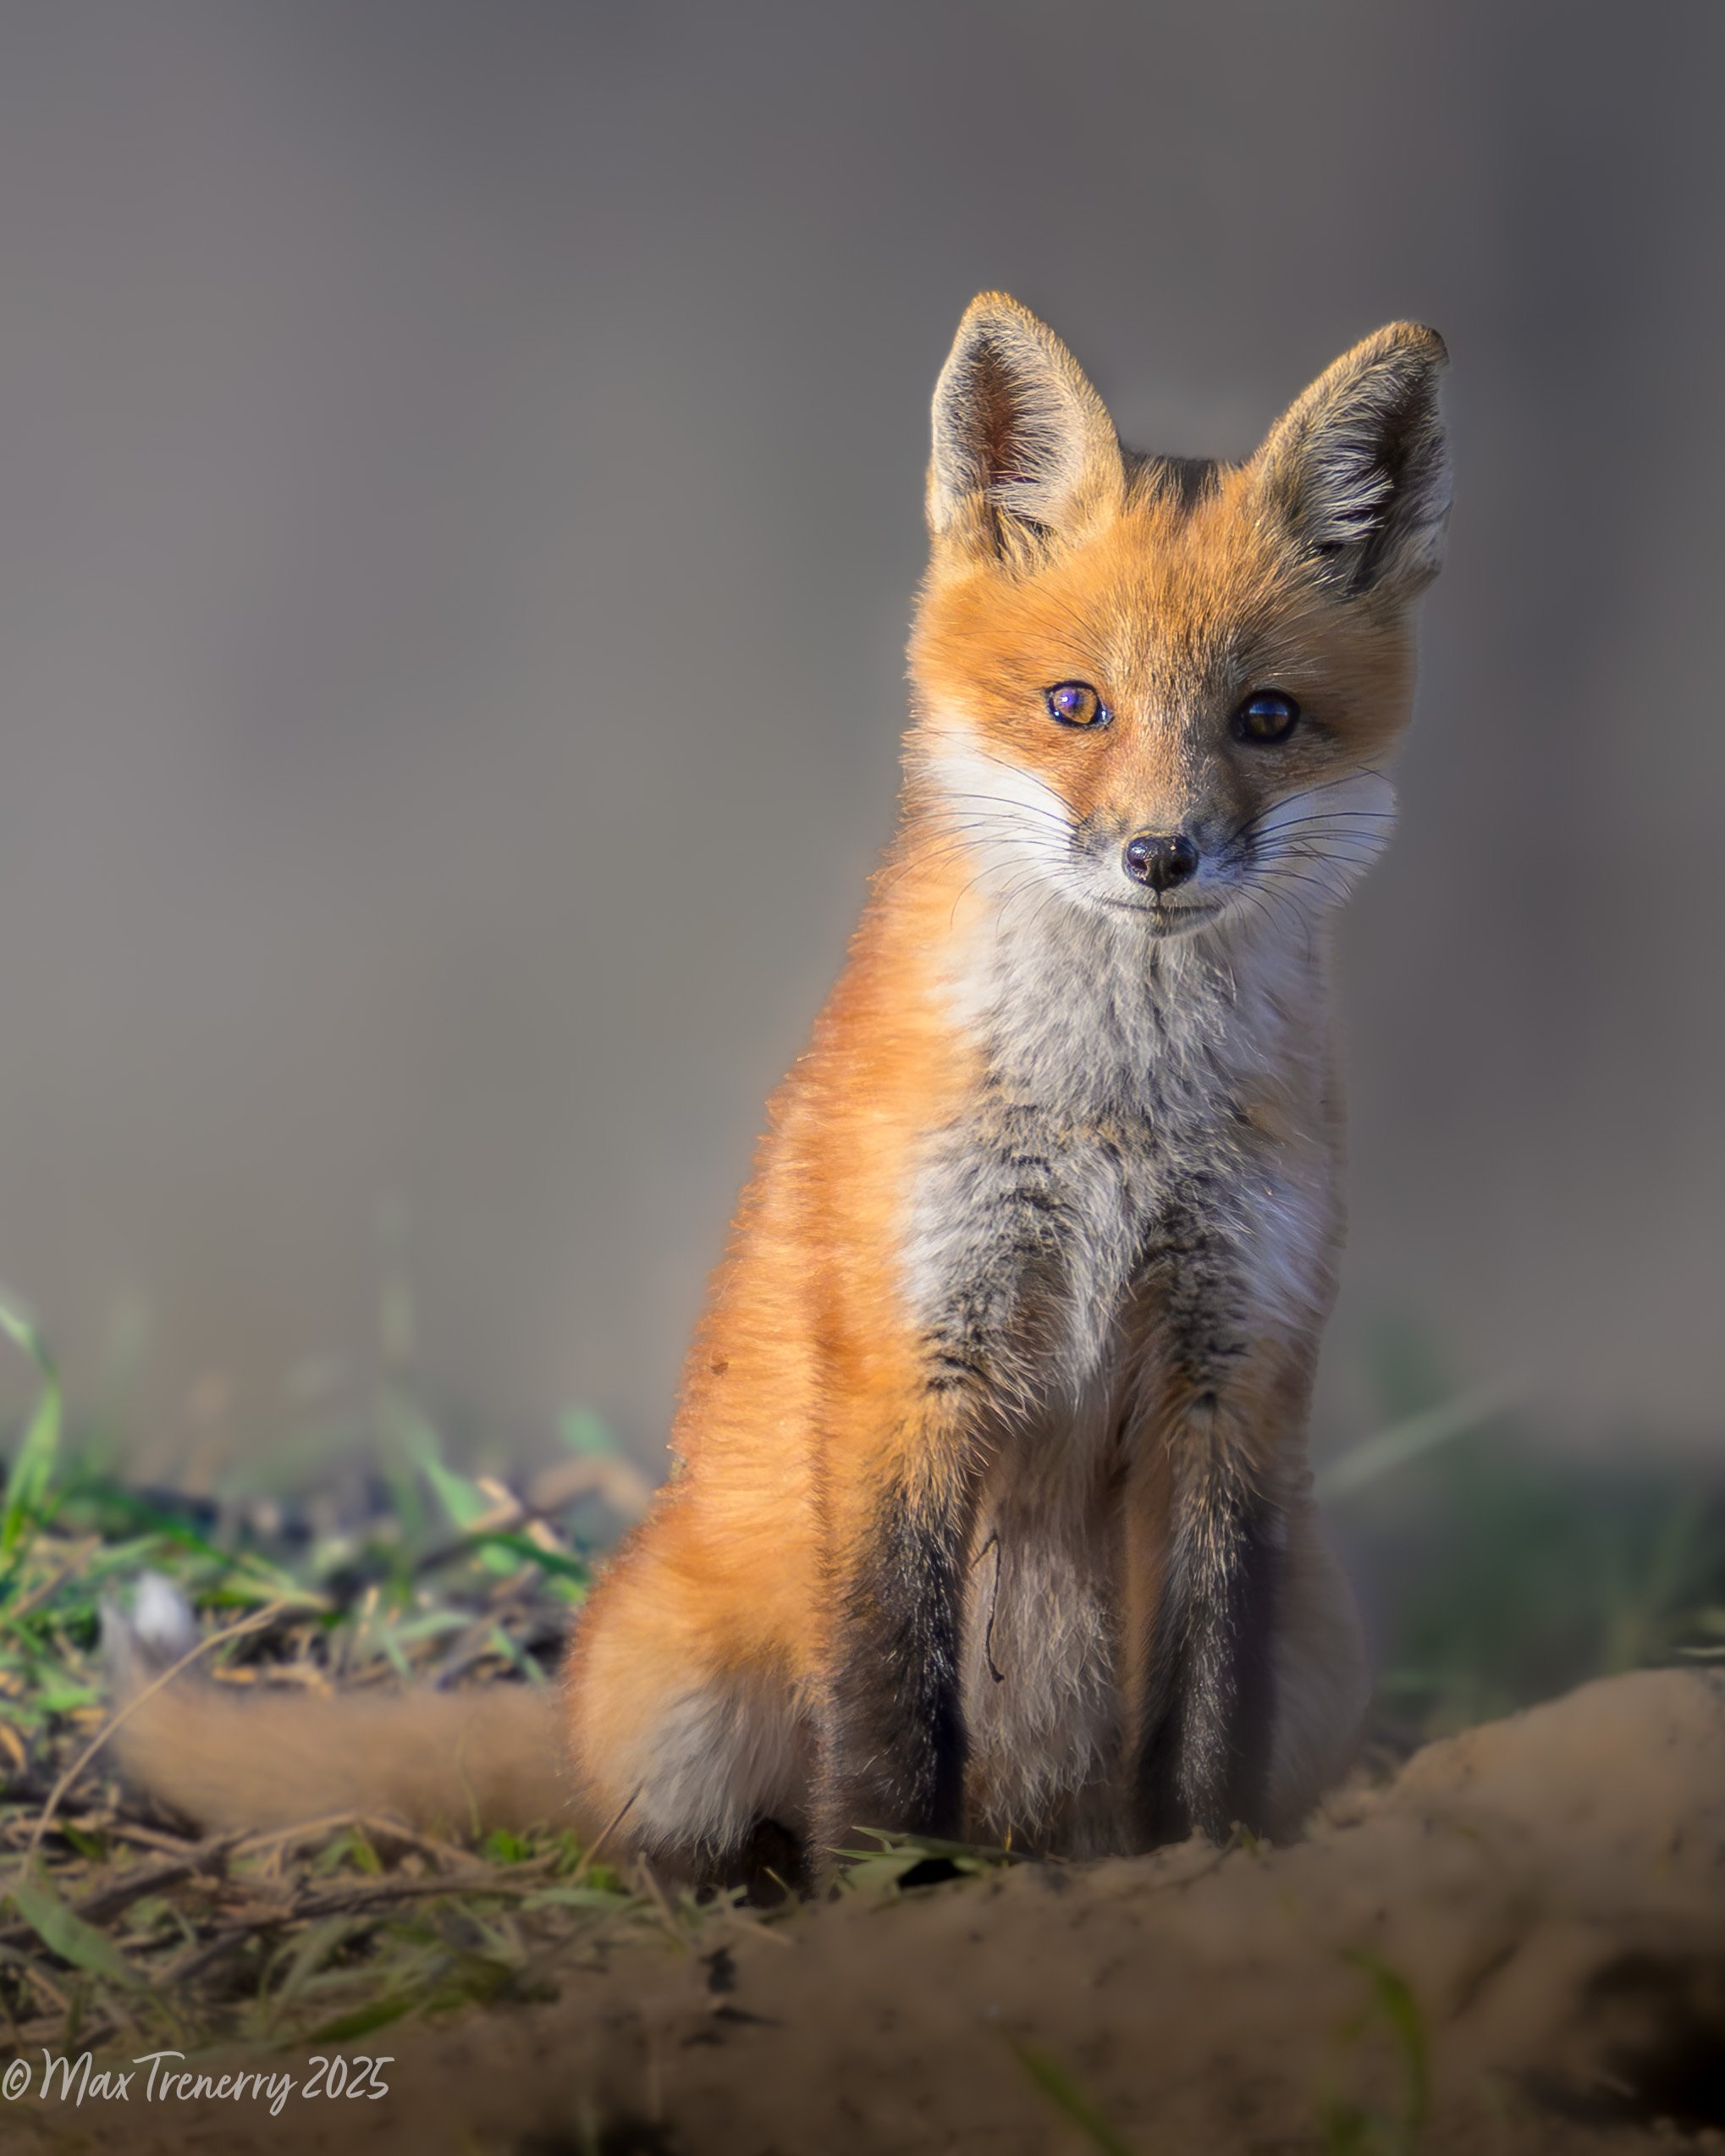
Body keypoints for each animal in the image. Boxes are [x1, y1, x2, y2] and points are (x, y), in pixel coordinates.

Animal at [106, 294, 1450, 1885]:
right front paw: (889, 1886)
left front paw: (1203, 1861)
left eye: (1264, 717)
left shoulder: (1232, 1375)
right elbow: (889, 1694)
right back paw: (759, 1878)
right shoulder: (905, 1363)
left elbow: (1206, 1703)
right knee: (666, 1826)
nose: (1159, 855)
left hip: (1322, 1637)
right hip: (681, 1689)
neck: (1111, 1117)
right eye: (1075, 705)